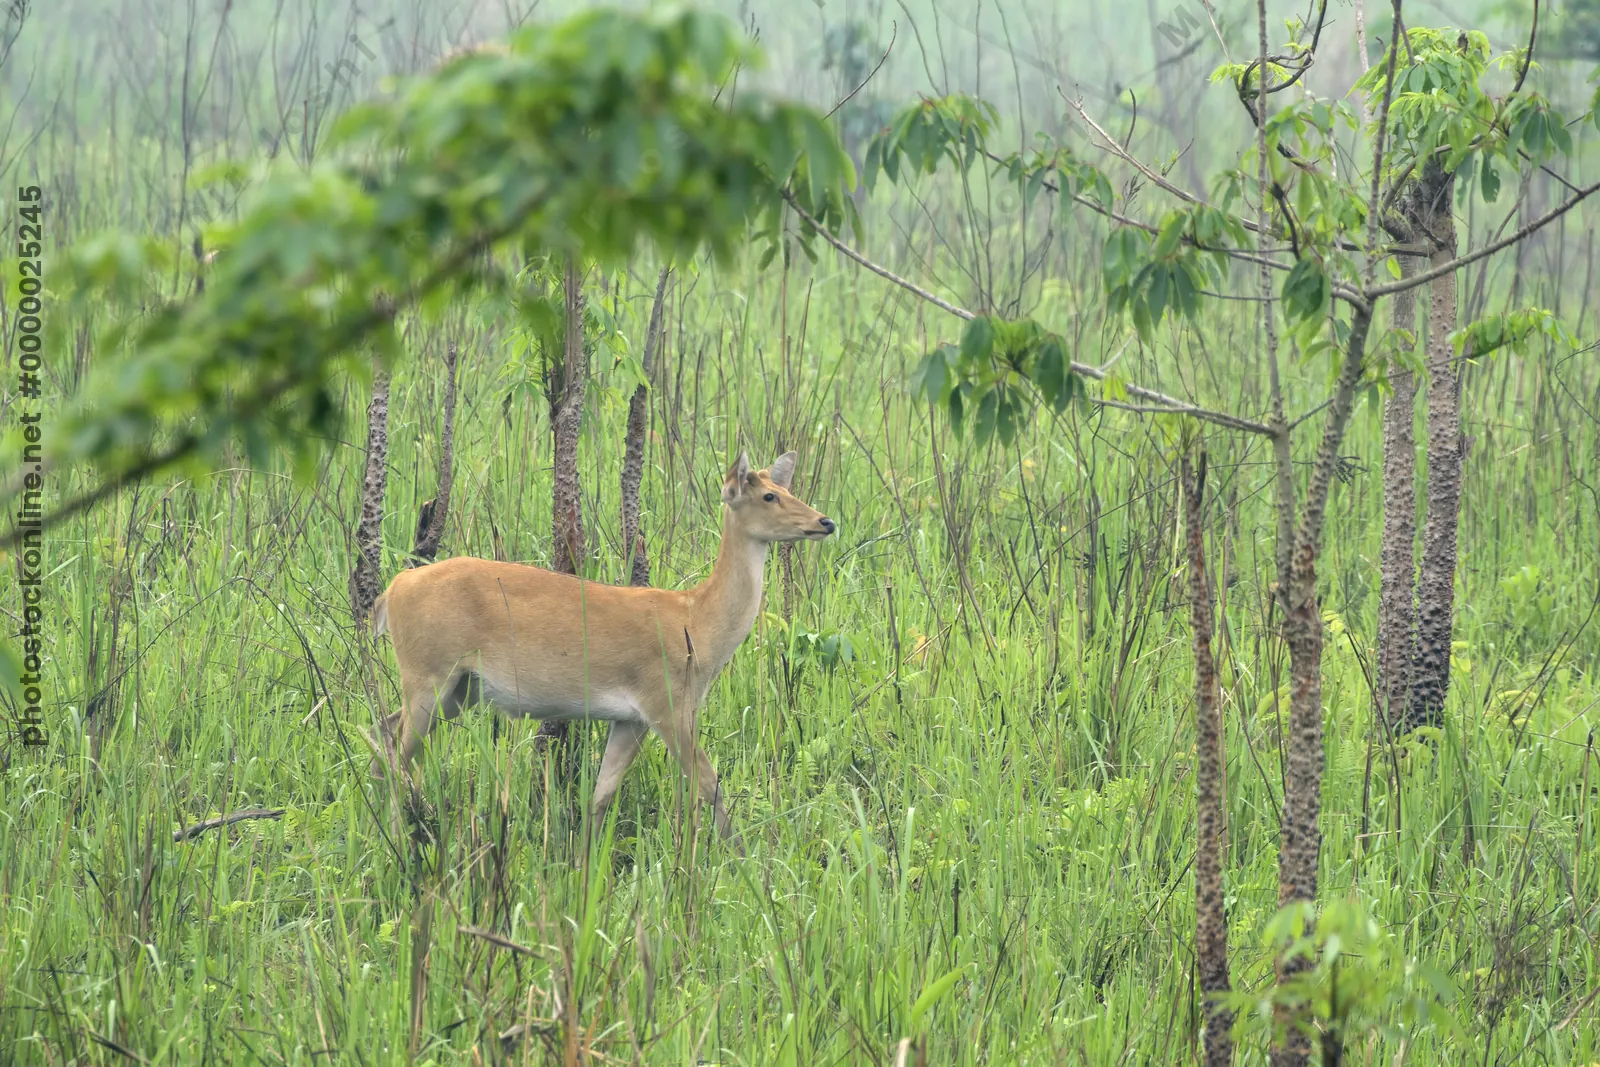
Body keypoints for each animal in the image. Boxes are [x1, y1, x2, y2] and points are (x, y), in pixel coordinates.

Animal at [367, 451, 835, 850]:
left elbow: (601, 795)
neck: (697, 623)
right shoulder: (668, 703)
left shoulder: (631, 720)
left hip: (459, 690)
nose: (825, 521)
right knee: (397, 753)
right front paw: (740, 859)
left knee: (383, 732)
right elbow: (709, 785)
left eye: (787, 488)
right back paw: (398, 841)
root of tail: (392, 592)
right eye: (769, 495)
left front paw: (583, 864)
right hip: (428, 674)